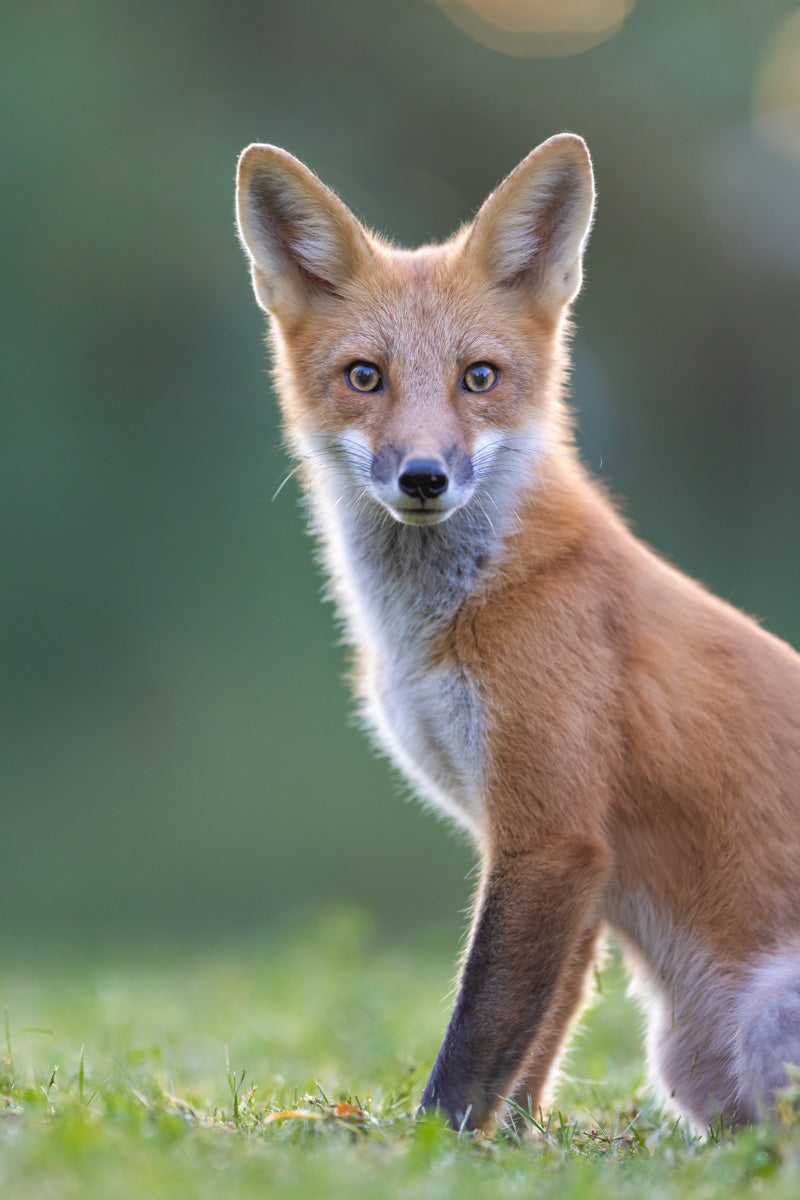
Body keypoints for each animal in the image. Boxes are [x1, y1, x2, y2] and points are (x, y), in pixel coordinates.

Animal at [234, 133, 800, 1135]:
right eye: (365, 376)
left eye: (480, 378)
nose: (423, 476)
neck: (439, 626)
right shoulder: (570, 858)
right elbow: (535, 1036)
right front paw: (514, 1144)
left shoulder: (551, 832)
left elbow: (479, 1030)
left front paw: (430, 1145)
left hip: (767, 1017)